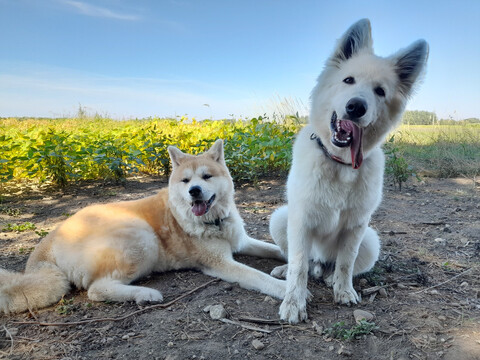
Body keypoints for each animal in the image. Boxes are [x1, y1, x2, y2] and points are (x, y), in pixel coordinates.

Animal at [0, 139, 284, 314]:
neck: (214, 221)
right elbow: (258, 277)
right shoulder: (221, 263)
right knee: (96, 290)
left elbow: (277, 249)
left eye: (207, 176)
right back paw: (144, 293)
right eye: (185, 181)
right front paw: (285, 289)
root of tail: (49, 240)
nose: (194, 191)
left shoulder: (242, 242)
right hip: (141, 237)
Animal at [268, 18, 430, 322]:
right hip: (280, 218)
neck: (339, 163)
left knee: (339, 266)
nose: (356, 107)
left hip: (371, 240)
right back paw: (288, 272)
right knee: (302, 262)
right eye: (348, 80)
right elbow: (298, 265)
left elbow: (346, 262)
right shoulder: (300, 220)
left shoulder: (356, 226)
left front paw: (343, 291)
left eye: (380, 91)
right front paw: (294, 302)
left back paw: (331, 278)